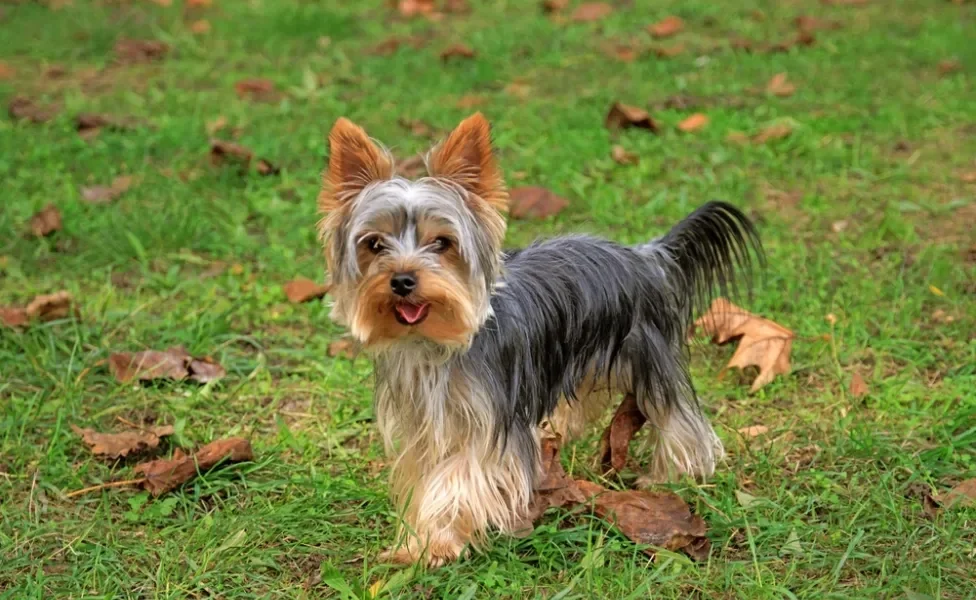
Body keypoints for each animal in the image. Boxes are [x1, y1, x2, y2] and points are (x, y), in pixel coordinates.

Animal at [320, 112, 764, 568]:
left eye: (442, 243)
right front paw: (416, 542)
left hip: (650, 358)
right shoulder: (422, 425)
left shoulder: (491, 425)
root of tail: (645, 255)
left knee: (679, 420)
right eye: (374, 244)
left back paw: (673, 474)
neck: (436, 346)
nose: (403, 280)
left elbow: (458, 479)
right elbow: (425, 479)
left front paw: (437, 543)